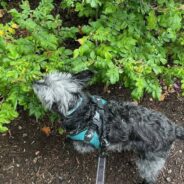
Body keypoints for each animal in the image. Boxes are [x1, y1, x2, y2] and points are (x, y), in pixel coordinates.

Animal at [32, 70, 184, 184]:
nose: (34, 82)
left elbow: (80, 146)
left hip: (149, 161)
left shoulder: (84, 140)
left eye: (45, 86)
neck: (81, 109)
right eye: (44, 78)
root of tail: (173, 129)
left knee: (150, 176)